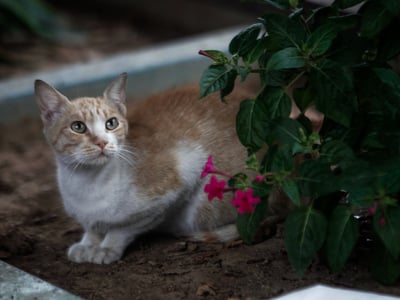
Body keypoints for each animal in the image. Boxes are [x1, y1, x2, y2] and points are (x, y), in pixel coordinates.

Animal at [34, 73, 258, 264]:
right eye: (78, 127)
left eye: (111, 123)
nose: (102, 142)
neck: (87, 183)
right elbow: (93, 227)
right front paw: (87, 243)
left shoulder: (177, 181)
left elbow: (123, 228)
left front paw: (106, 248)